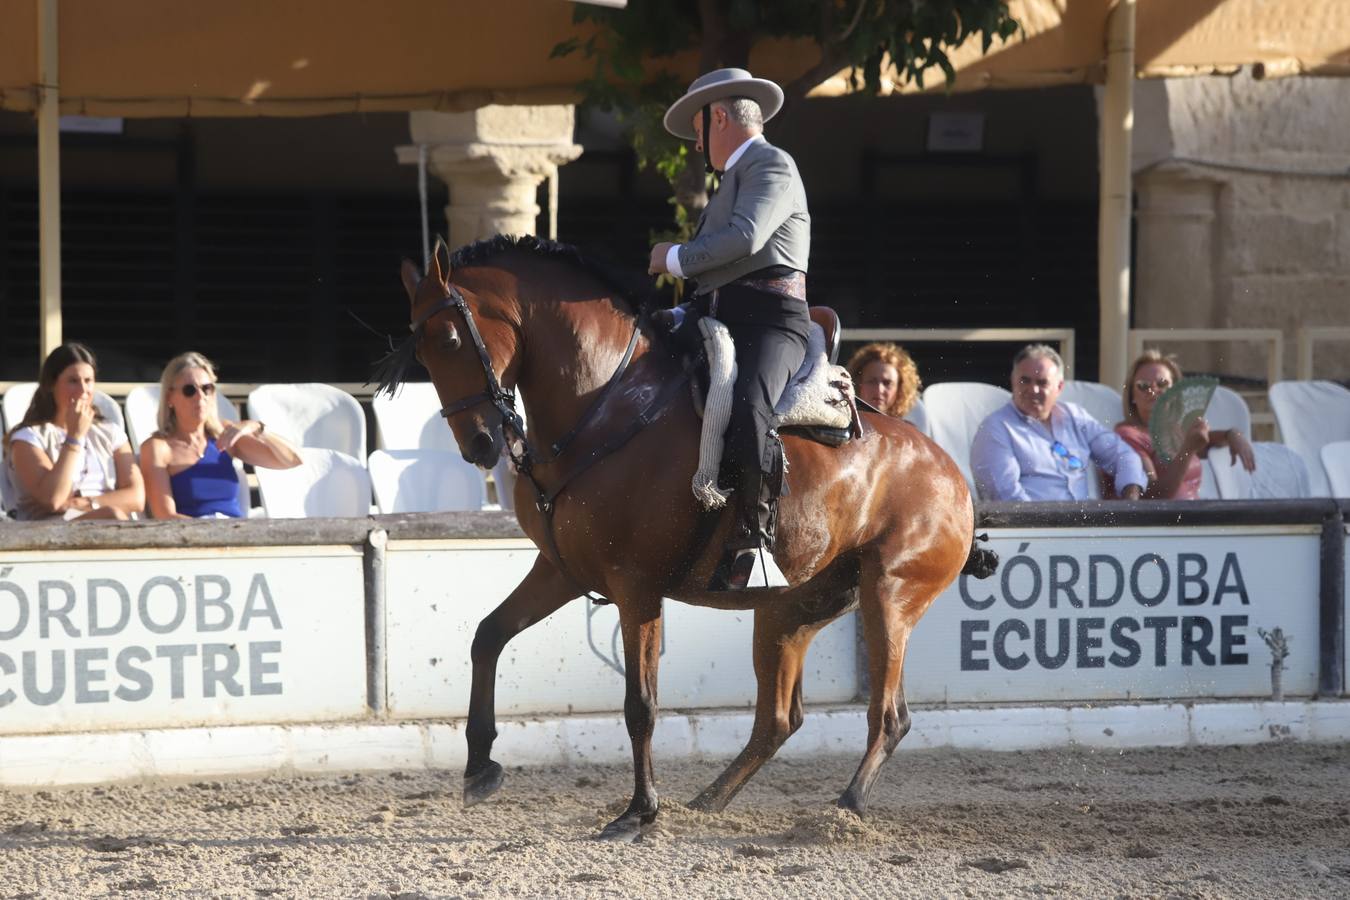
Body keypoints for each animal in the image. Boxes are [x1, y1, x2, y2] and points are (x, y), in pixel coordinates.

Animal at [383, 236, 993, 841]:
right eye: (422, 353)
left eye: (451, 339)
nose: (480, 446)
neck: (605, 406)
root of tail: (952, 474)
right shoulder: (561, 571)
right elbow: (487, 636)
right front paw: (479, 767)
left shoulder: (635, 588)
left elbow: (641, 703)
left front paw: (638, 812)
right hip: (789, 610)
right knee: (778, 720)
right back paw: (706, 802)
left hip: (888, 598)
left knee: (888, 716)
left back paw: (842, 810)